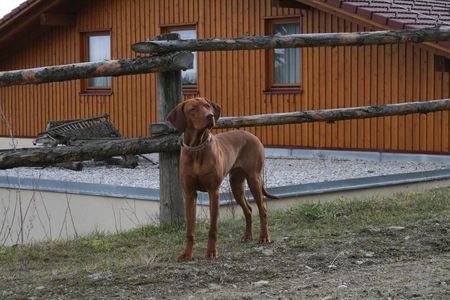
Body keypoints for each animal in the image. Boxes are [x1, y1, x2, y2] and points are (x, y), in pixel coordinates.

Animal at [167, 96, 276, 260]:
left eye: (207, 106)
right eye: (193, 109)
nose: (210, 116)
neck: (197, 148)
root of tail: (252, 135)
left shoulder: (213, 192)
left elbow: (213, 227)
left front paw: (211, 251)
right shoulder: (190, 194)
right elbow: (190, 229)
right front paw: (186, 253)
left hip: (254, 180)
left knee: (262, 209)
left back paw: (264, 237)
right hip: (236, 184)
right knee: (248, 210)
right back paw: (247, 236)